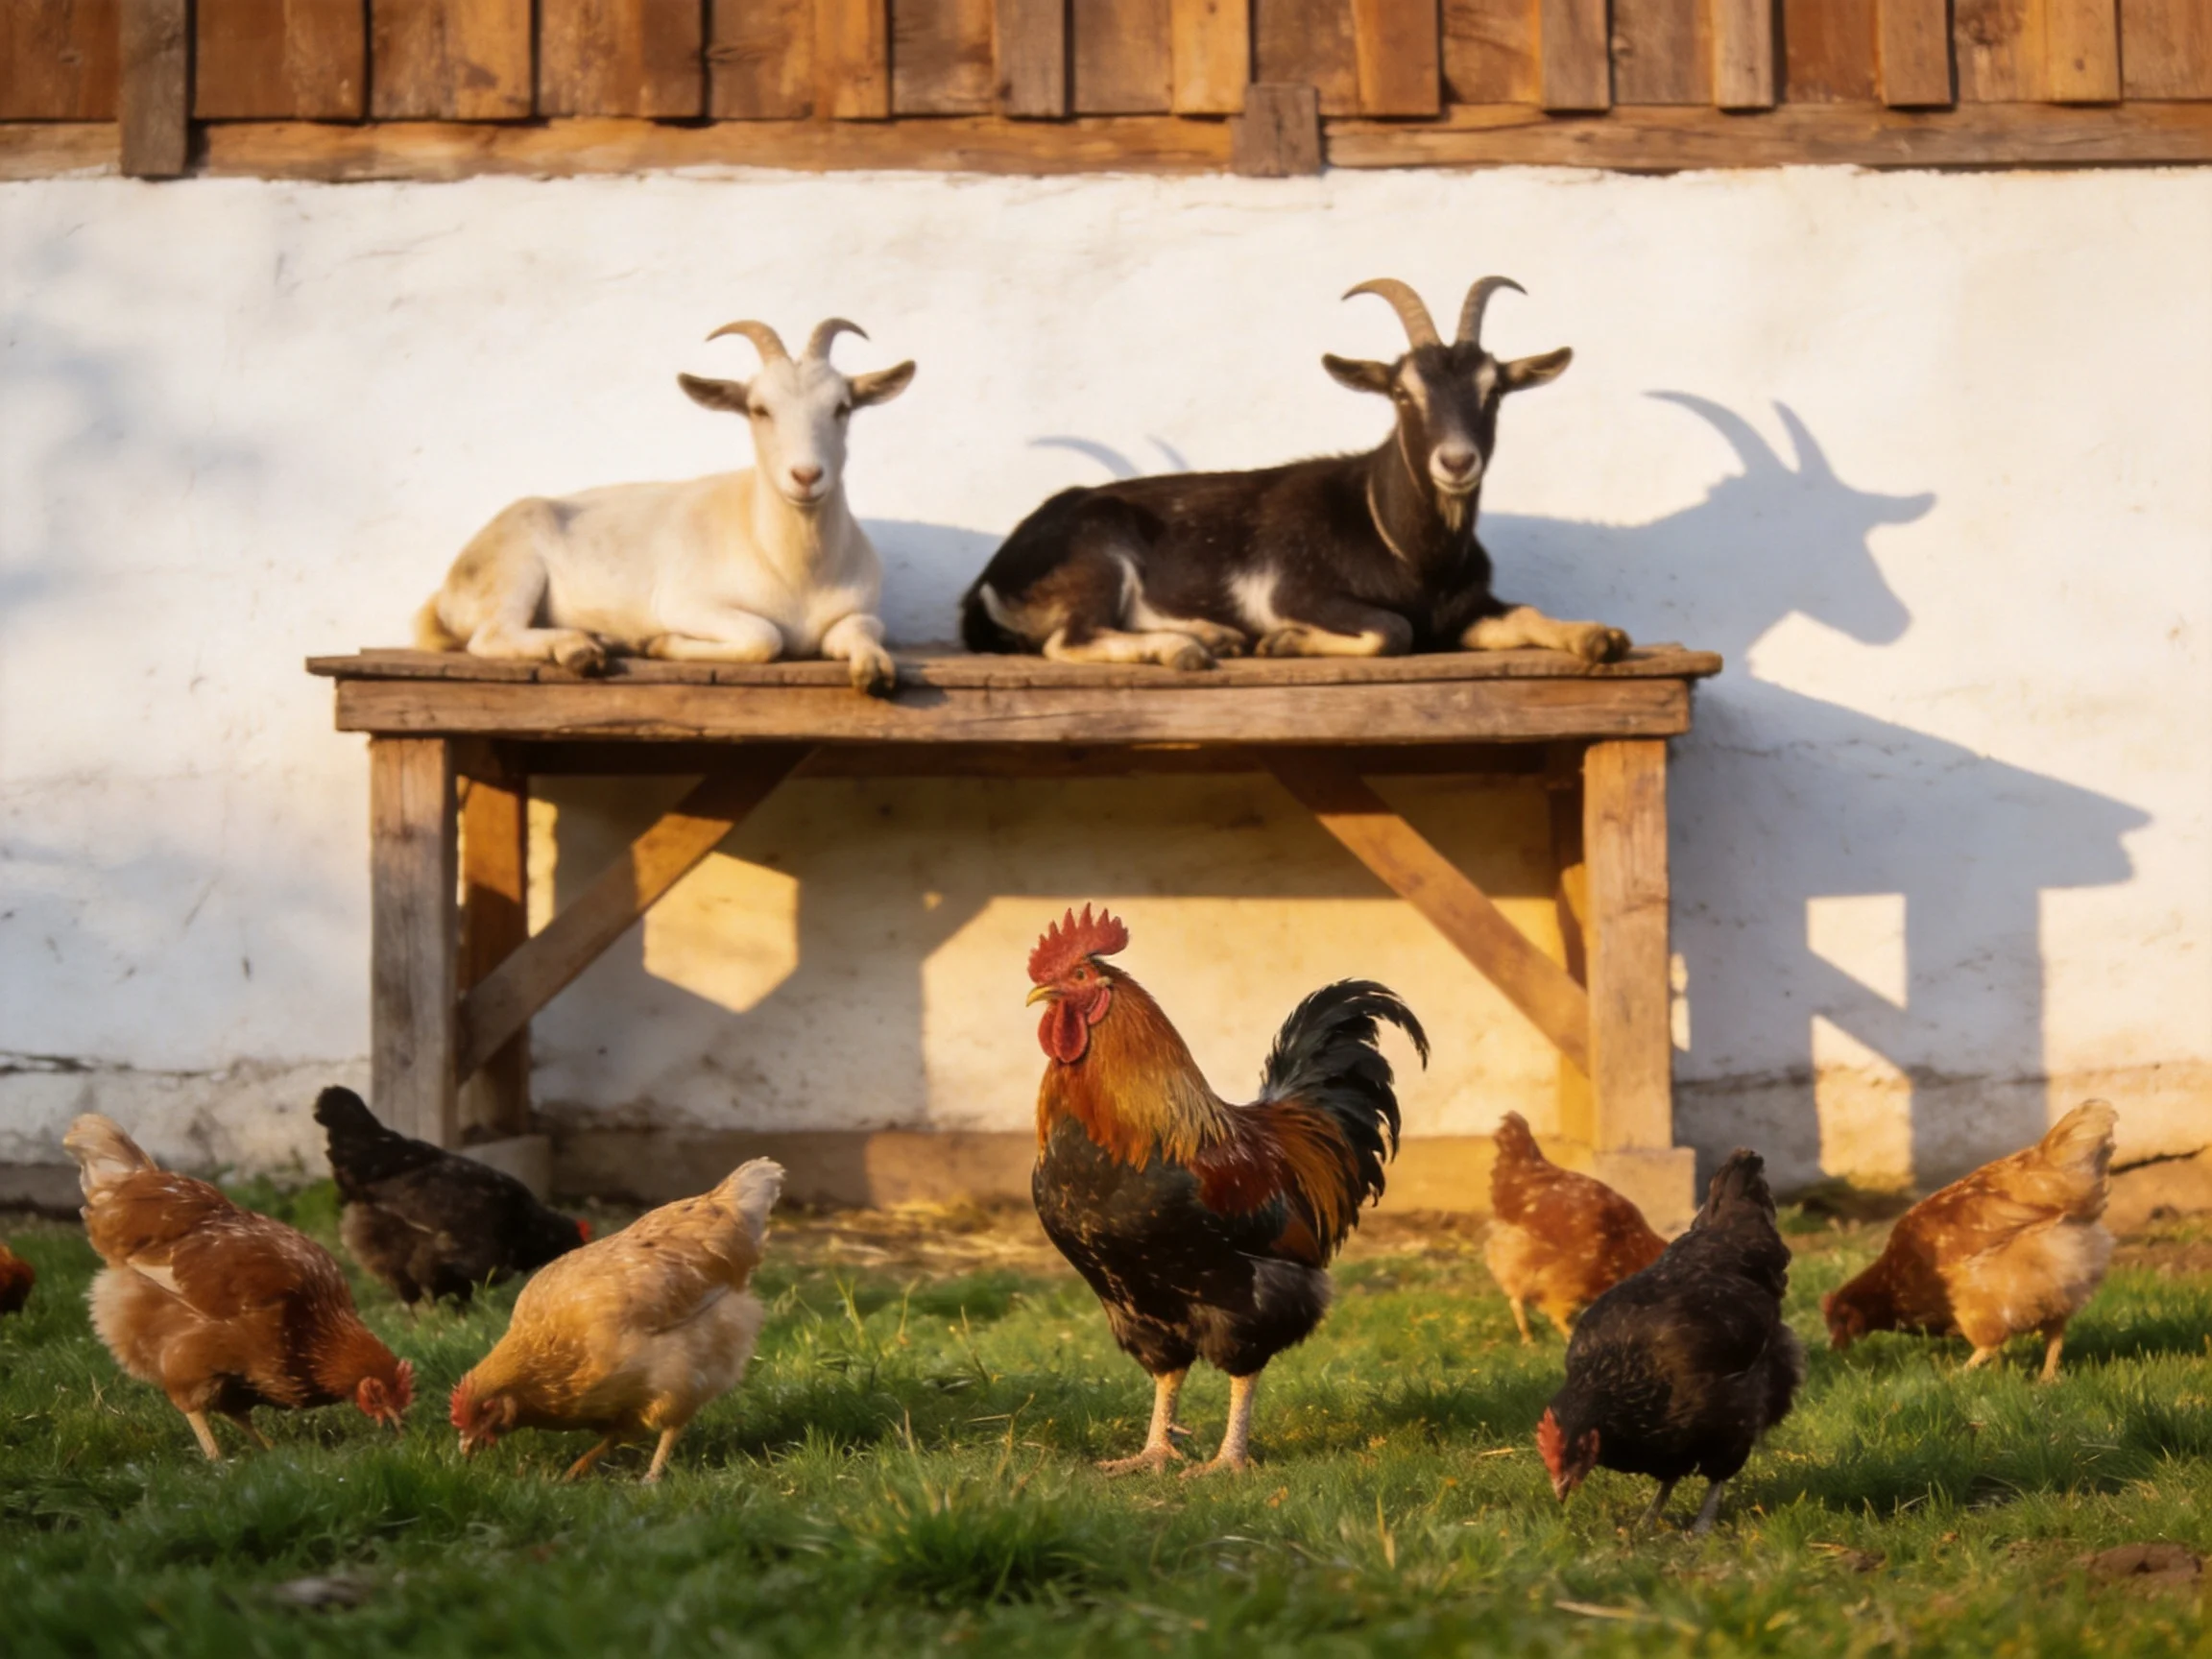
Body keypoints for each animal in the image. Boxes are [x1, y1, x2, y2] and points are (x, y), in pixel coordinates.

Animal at [417, 318, 915, 693]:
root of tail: (445, 593)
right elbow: (764, 637)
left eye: (842, 407)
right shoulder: (685, 603)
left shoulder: (860, 611)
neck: (795, 569)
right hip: (513, 570)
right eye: (759, 409)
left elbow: (864, 631)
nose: (807, 476)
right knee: (490, 636)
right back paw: (578, 650)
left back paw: (598, 639)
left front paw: (873, 669)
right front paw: (659, 645)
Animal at [960, 277, 1628, 669]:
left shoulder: (1465, 611)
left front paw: (1598, 636)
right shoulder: (1297, 591)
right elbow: (1393, 630)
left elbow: (1526, 613)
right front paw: (1285, 640)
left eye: (1495, 391)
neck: (1407, 549)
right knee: (1066, 640)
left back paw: (1215, 636)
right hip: (1100, 554)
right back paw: (1184, 650)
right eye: (1402, 392)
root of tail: (989, 578)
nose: (1457, 461)